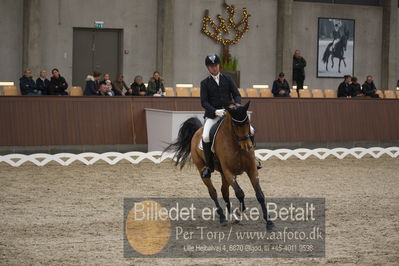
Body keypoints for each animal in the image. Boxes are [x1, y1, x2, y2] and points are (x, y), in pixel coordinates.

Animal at [166, 102, 276, 231]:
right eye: (235, 124)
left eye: (247, 122)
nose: (247, 146)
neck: (236, 145)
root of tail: (198, 131)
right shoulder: (229, 172)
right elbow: (240, 193)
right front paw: (238, 213)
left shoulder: (251, 169)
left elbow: (260, 195)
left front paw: (269, 222)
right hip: (203, 171)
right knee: (213, 192)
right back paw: (223, 217)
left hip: (223, 174)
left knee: (224, 192)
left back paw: (230, 215)